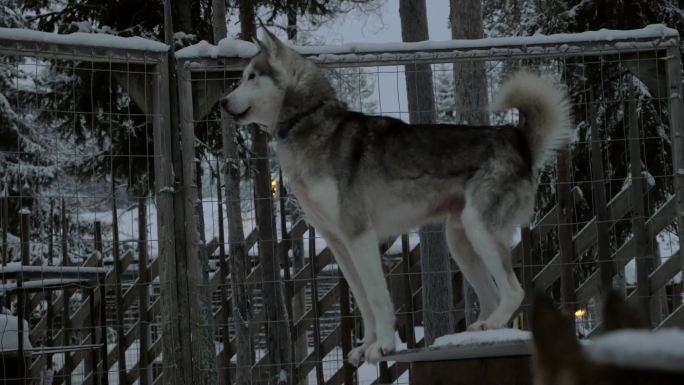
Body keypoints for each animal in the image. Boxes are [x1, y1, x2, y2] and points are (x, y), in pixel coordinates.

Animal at [222, 27, 576, 366]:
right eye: (242, 76)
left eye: (251, 76)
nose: (223, 103)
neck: (307, 121)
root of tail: (518, 140)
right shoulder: (339, 245)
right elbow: (363, 302)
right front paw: (365, 346)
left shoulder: (360, 237)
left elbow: (378, 299)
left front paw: (383, 346)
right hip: (460, 241)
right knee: (490, 296)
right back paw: (481, 331)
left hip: (480, 230)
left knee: (514, 291)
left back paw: (492, 324)